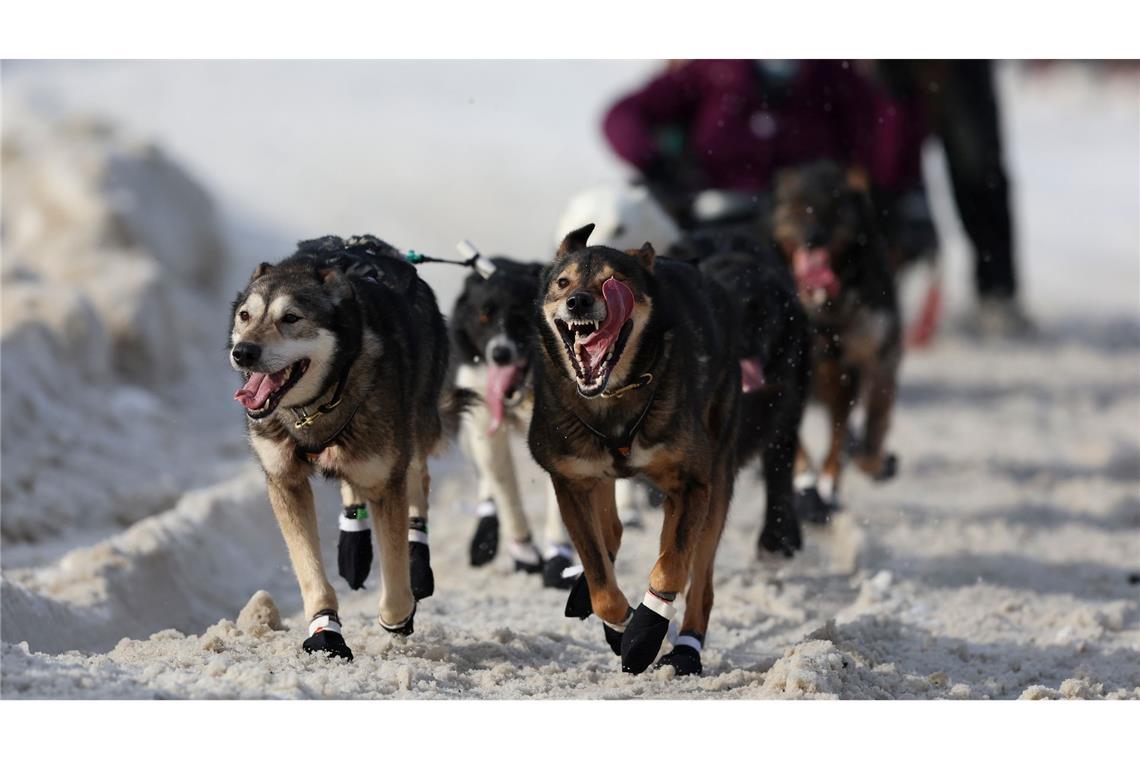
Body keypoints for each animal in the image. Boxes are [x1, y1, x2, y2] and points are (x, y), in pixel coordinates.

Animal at [229, 235, 465, 660]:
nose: (243, 352)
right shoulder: (285, 481)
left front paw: (398, 616)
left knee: (418, 484)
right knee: (352, 485)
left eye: (291, 318)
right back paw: (353, 545)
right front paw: (326, 631)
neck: (317, 407)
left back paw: (417, 559)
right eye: (244, 315)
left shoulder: (387, 480)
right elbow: (309, 569)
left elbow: (396, 580)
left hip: (412, 430)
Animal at [524, 223, 738, 674]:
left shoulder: (693, 484)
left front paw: (644, 631)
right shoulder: (571, 480)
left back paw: (685, 648)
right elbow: (600, 577)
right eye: (562, 282)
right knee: (614, 531)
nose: (577, 300)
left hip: (717, 479)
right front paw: (620, 623)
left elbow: (671, 567)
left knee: (699, 578)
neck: (612, 398)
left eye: (615, 280)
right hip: (599, 473)